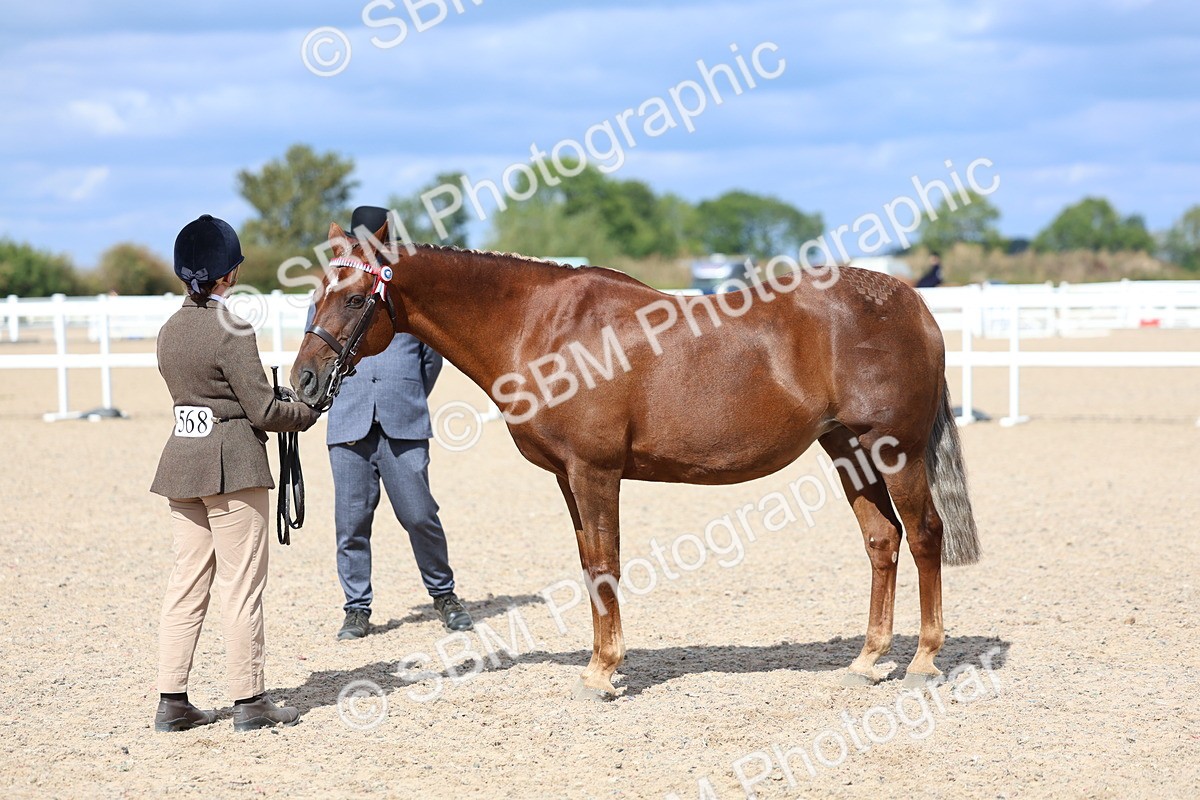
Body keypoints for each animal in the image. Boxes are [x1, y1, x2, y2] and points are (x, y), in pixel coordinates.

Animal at [291, 220, 980, 698]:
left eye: (355, 298)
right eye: (315, 293)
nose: (302, 380)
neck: (543, 325)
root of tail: (911, 303)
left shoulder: (595, 473)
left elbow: (605, 565)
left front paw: (603, 672)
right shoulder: (570, 478)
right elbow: (589, 565)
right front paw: (601, 662)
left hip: (895, 451)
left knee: (924, 535)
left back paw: (923, 661)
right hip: (848, 451)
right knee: (882, 540)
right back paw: (867, 661)